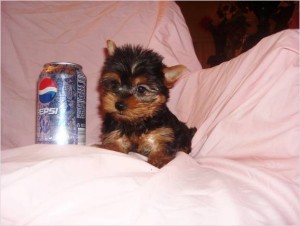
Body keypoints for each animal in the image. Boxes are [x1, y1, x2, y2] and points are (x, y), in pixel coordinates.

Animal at [98, 40, 197, 168]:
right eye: (114, 84)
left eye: (141, 89)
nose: (119, 105)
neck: (136, 121)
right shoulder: (115, 132)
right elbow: (114, 146)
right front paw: (107, 148)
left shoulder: (162, 134)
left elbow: (162, 150)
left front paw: (159, 161)